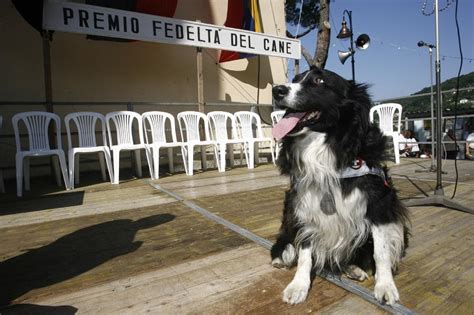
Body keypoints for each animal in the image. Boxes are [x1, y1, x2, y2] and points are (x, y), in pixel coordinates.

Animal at [270, 67, 408, 306]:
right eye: (295, 79)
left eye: (319, 80)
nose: (277, 90)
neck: (327, 145)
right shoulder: (304, 204)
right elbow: (305, 250)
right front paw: (299, 285)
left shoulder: (379, 203)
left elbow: (381, 251)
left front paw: (385, 285)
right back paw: (282, 256)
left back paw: (354, 268)